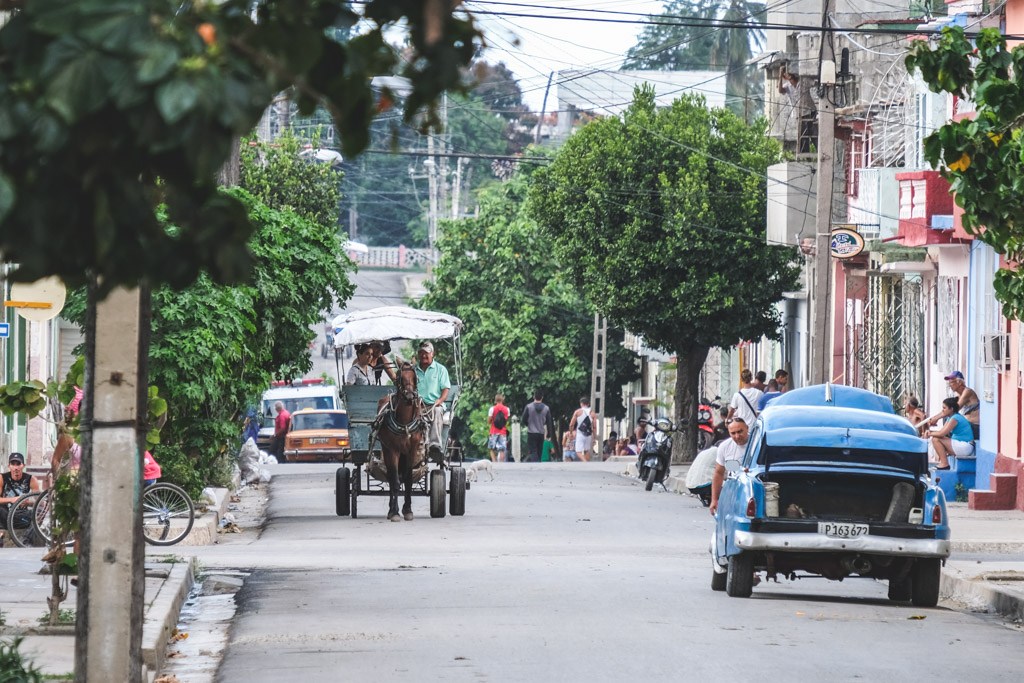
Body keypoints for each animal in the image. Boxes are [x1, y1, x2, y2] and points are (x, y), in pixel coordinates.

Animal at [376, 362, 423, 518]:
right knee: (391, 478)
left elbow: (408, 479)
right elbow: (395, 481)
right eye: (400, 378)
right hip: (386, 449)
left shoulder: (411, 450)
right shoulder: (393, 450)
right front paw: (394, 512)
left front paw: (407, 509)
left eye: (415, 377)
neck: (405, 423)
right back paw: (391, 509)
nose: (409, 396)